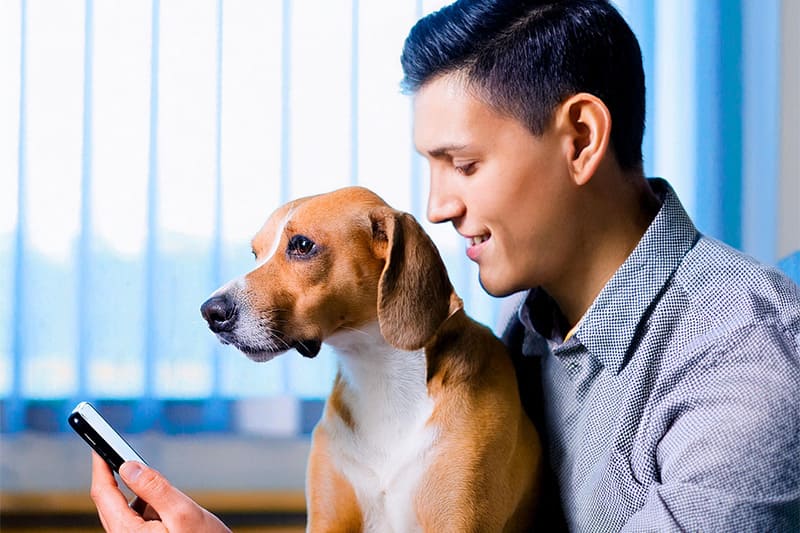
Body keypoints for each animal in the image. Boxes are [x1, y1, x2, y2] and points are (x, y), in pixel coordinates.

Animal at [200, 187, 544, 532]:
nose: (211, 312)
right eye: (256, 253)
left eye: (302, 245)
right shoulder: (327, 520)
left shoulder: (460, 521)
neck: (380, 373)